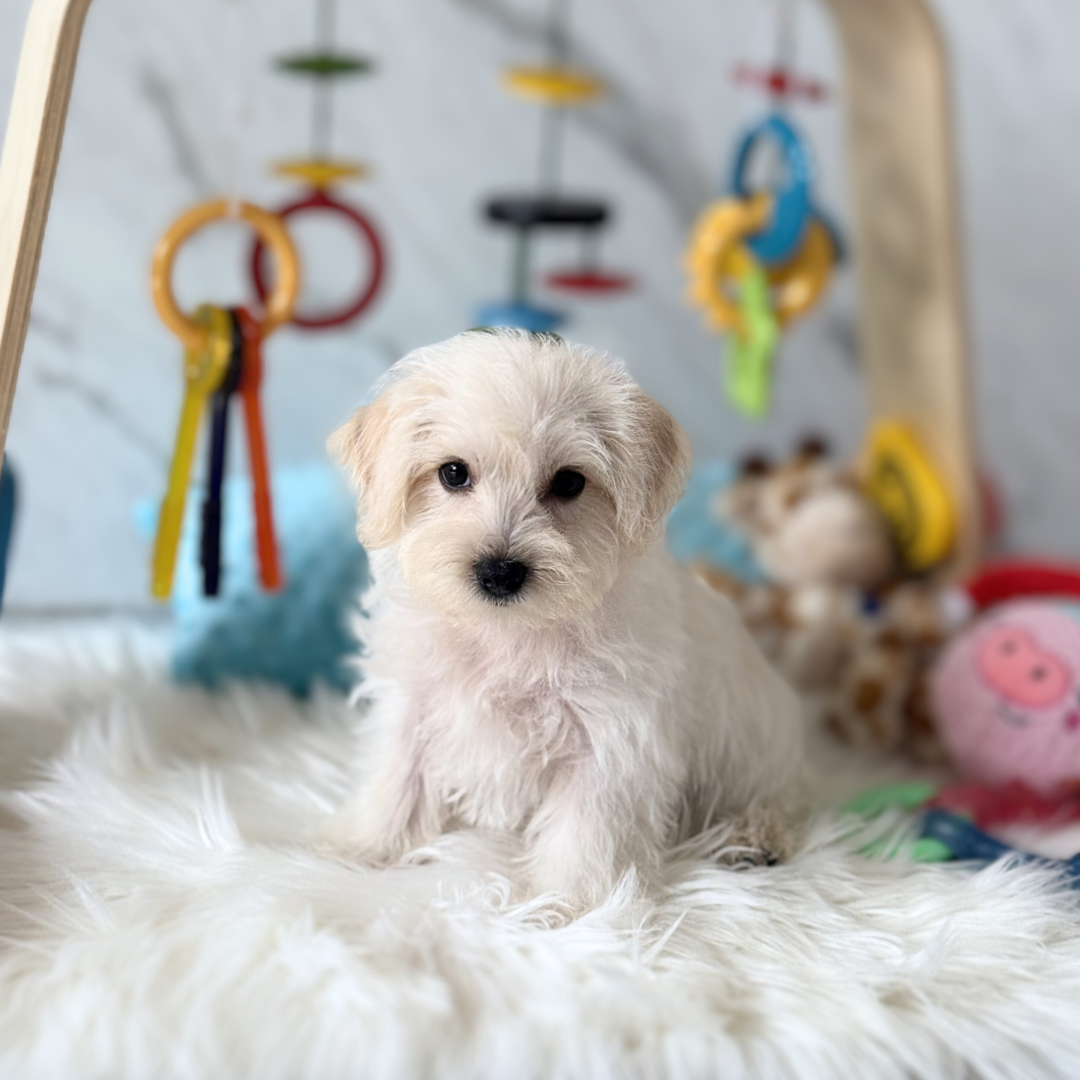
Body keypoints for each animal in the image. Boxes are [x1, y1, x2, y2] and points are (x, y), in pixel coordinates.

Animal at [324, 330, 807, 911]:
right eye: (453, 473)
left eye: (570, 482)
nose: (499, 572)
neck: (507, 634)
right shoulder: (414, 703)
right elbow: (397, 778)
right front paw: (363, 848)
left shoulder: (609, 739)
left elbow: (584, 829)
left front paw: (568, 904)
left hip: (757, 755)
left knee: (783, 798)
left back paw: (753, 837)